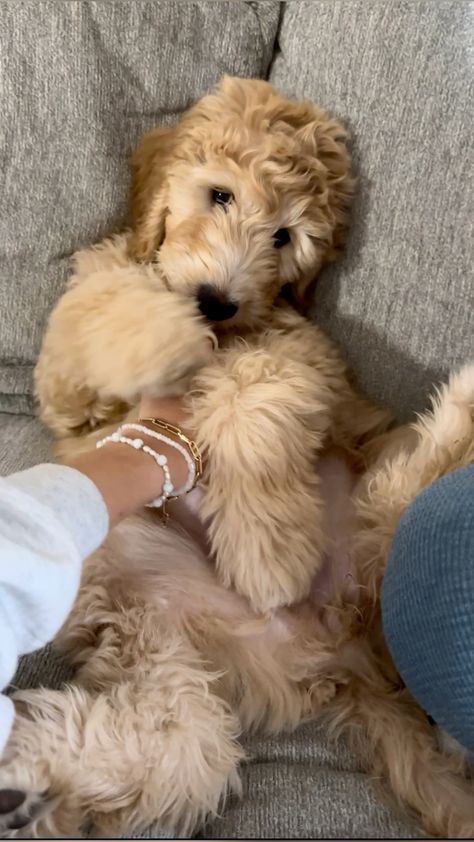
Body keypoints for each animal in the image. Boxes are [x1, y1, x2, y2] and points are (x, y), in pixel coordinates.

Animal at [1, 77, 472, 832]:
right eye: (219, 195)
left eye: (283, 236)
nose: (216, 301)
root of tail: (343, 648)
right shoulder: (73, 379)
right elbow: (110, 307)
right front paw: (167, 335)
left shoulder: (305, 353)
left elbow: (255, 391)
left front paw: (266, 556)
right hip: (162, 640)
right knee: (174, 748)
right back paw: (28, 780)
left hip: (359, 513)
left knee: (402, 493)